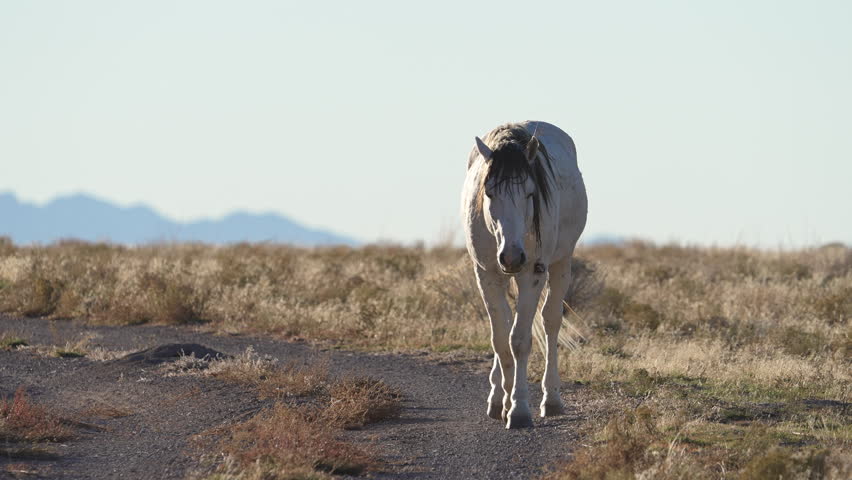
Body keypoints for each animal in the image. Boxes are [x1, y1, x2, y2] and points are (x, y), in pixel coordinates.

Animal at [461, 121, 587, 429]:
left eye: (530, 194)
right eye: (489, 193)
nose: (512, 256)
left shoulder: (532, 273)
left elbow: (519, 340)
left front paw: (518, 409)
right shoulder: (486, 274)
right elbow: (500, 339)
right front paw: (503, 401)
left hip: (561, 263)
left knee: (550, 321)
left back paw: (551, 399)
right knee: (504, 325)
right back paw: (498, 396)